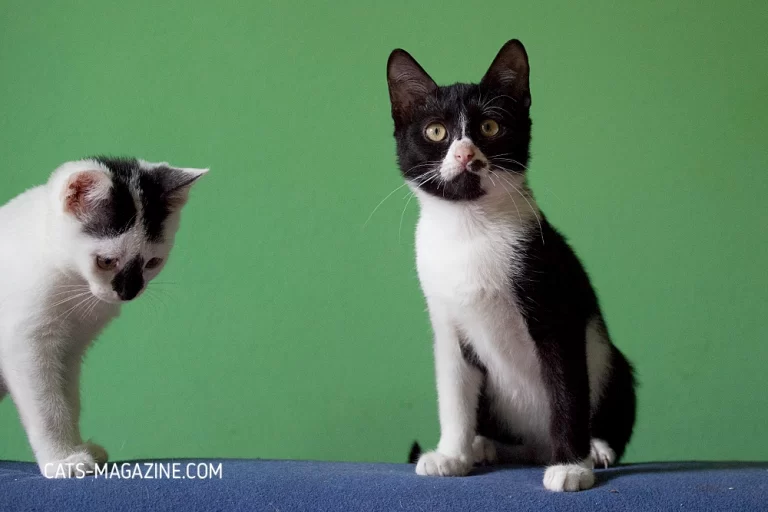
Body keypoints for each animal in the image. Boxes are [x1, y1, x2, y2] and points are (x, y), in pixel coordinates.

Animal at [0, 158, 207, 478]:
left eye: (153, 262)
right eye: (106, 261)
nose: (128, 292)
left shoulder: (69, 352)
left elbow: (69, 402)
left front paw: (78, 448)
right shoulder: (26, 346)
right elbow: (47, 407)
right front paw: (62, 459)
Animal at [390, 41, 636, 492]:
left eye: (490, 127)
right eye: (436, 131)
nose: (465, 152)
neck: (468, 230)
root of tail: (534, 448)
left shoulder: (555, 310)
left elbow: (567, 390)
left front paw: (572, 467)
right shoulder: (447, 324)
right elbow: (453, 390)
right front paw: (451, 454)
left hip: (611, 360)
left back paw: (594, 448)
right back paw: (483, 446)